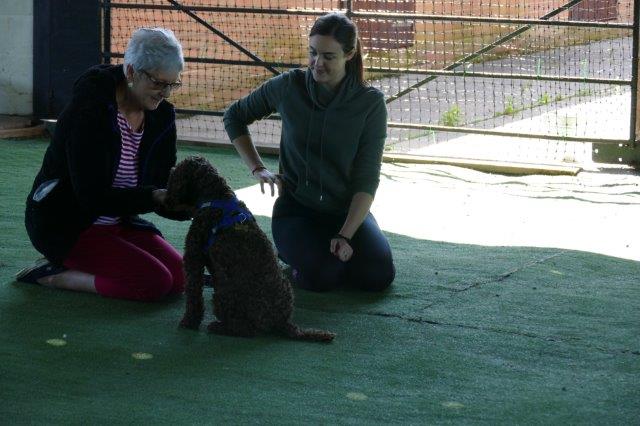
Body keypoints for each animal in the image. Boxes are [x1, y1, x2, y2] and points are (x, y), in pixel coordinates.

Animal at [165, 156, 335, 342]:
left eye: (173, 175)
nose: (165, 198)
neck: (217, 195)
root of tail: (283, 322)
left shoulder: (193, 258)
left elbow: (193, 295)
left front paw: (189, 322)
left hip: (224, 293)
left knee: (247, 330)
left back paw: (218, 327)